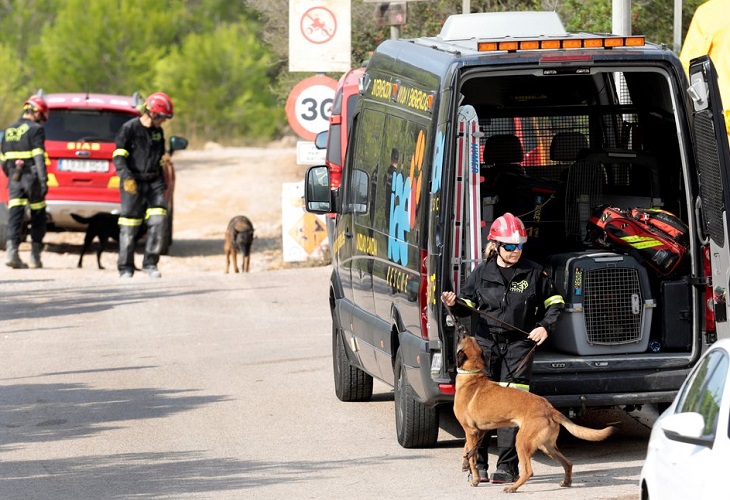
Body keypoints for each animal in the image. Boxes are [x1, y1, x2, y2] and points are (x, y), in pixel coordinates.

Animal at [456, 334, 616, 494]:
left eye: (462, 339)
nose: (464, 332)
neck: (472, 376)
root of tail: (550, 409)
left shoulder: (470, 430)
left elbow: (473, 457)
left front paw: (475, 478)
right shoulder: (477, 431)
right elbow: (468, 448)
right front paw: (465, 462)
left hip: (522, 442)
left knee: (528, 471)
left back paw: (512, 487)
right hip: (547, 446)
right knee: (568, 463)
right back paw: (566, 482)